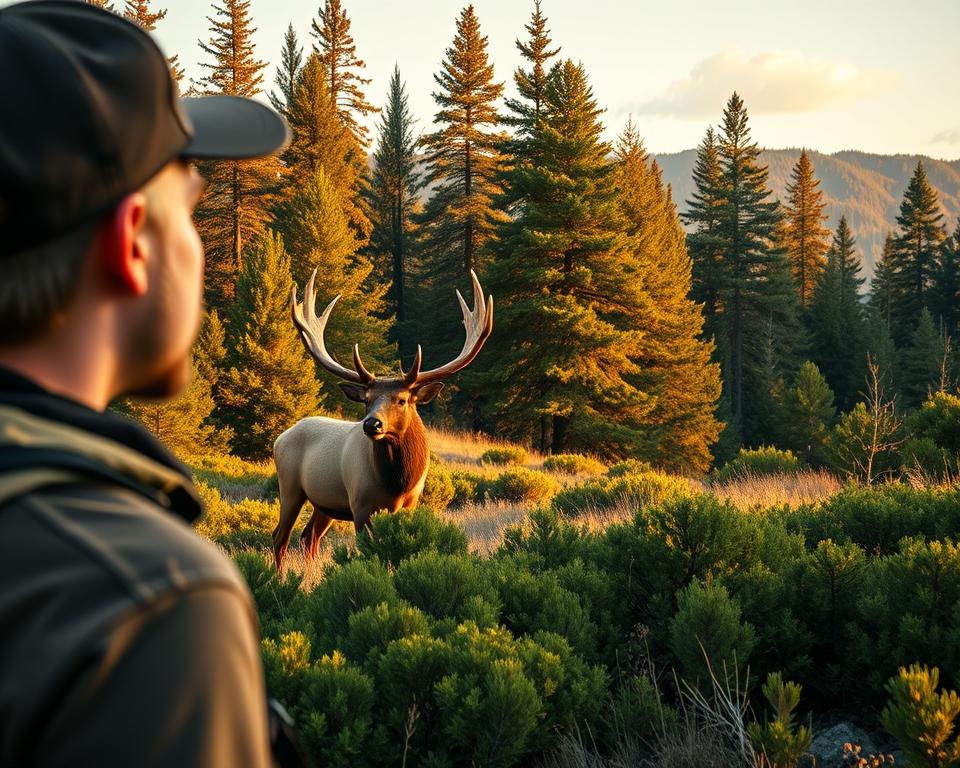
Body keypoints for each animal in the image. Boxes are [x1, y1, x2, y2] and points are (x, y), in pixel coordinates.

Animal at [270, 269, 493, 571]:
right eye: (367, 399)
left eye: (402, 400)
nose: (371, 424)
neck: (397, 484)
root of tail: (281, 437)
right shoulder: (360, 505)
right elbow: (369, 550)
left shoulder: (410, 505)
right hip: (290, 487)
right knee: (280, 537)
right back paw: (279, 577)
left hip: (324, 503)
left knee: (309, 535)